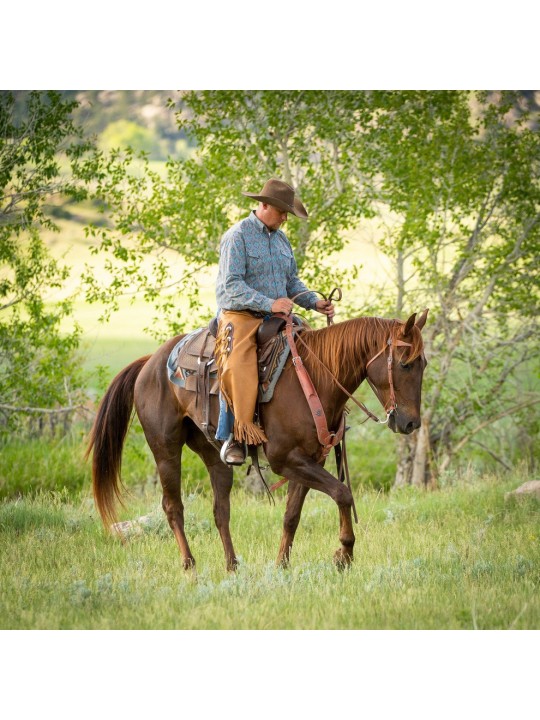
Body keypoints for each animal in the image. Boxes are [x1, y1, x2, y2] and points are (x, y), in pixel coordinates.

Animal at [86, 312, 428, 572]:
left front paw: (281, 565)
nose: (411, 423)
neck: (314, 379)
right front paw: (344, 554)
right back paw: (189, 565)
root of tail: (149, 362)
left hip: (215, 456)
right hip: (165, 450)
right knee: (173, 507)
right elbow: (343, 493)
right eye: (405, 363)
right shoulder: (285, 460)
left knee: (220, 510)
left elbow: (292, 516)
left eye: (422, 364)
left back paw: (232, 565)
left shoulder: (309, 461)